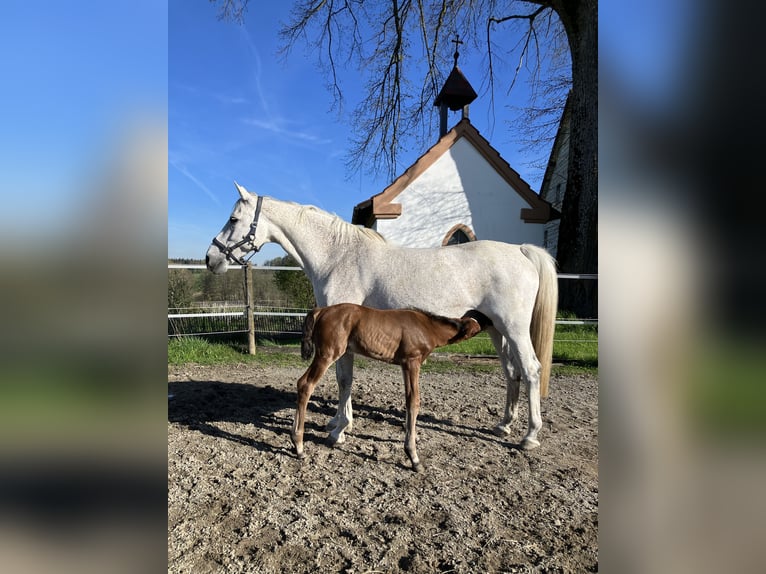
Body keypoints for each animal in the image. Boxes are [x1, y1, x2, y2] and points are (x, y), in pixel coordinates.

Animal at [206, 183, 558, 451]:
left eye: (233, 218)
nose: (210, 258)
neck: (338, 255)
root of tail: (520, 250)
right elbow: (342, 379)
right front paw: (337, 422)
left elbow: (344, 379)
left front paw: (340, 429)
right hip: (496, 330)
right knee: (511, 373)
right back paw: (504, 424)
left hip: (514, 329)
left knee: (531, 370)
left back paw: (530, 436)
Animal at [292, 303, 492, 472]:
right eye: (481, 321)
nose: (493, 321)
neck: (428, 327)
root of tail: (321, 311)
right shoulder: (412, 362)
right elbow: (414, 402)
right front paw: (413, 457)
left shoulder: (405, 365)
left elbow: (409, 401)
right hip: (327, 354)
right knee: (305, 384)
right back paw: (299, 446)